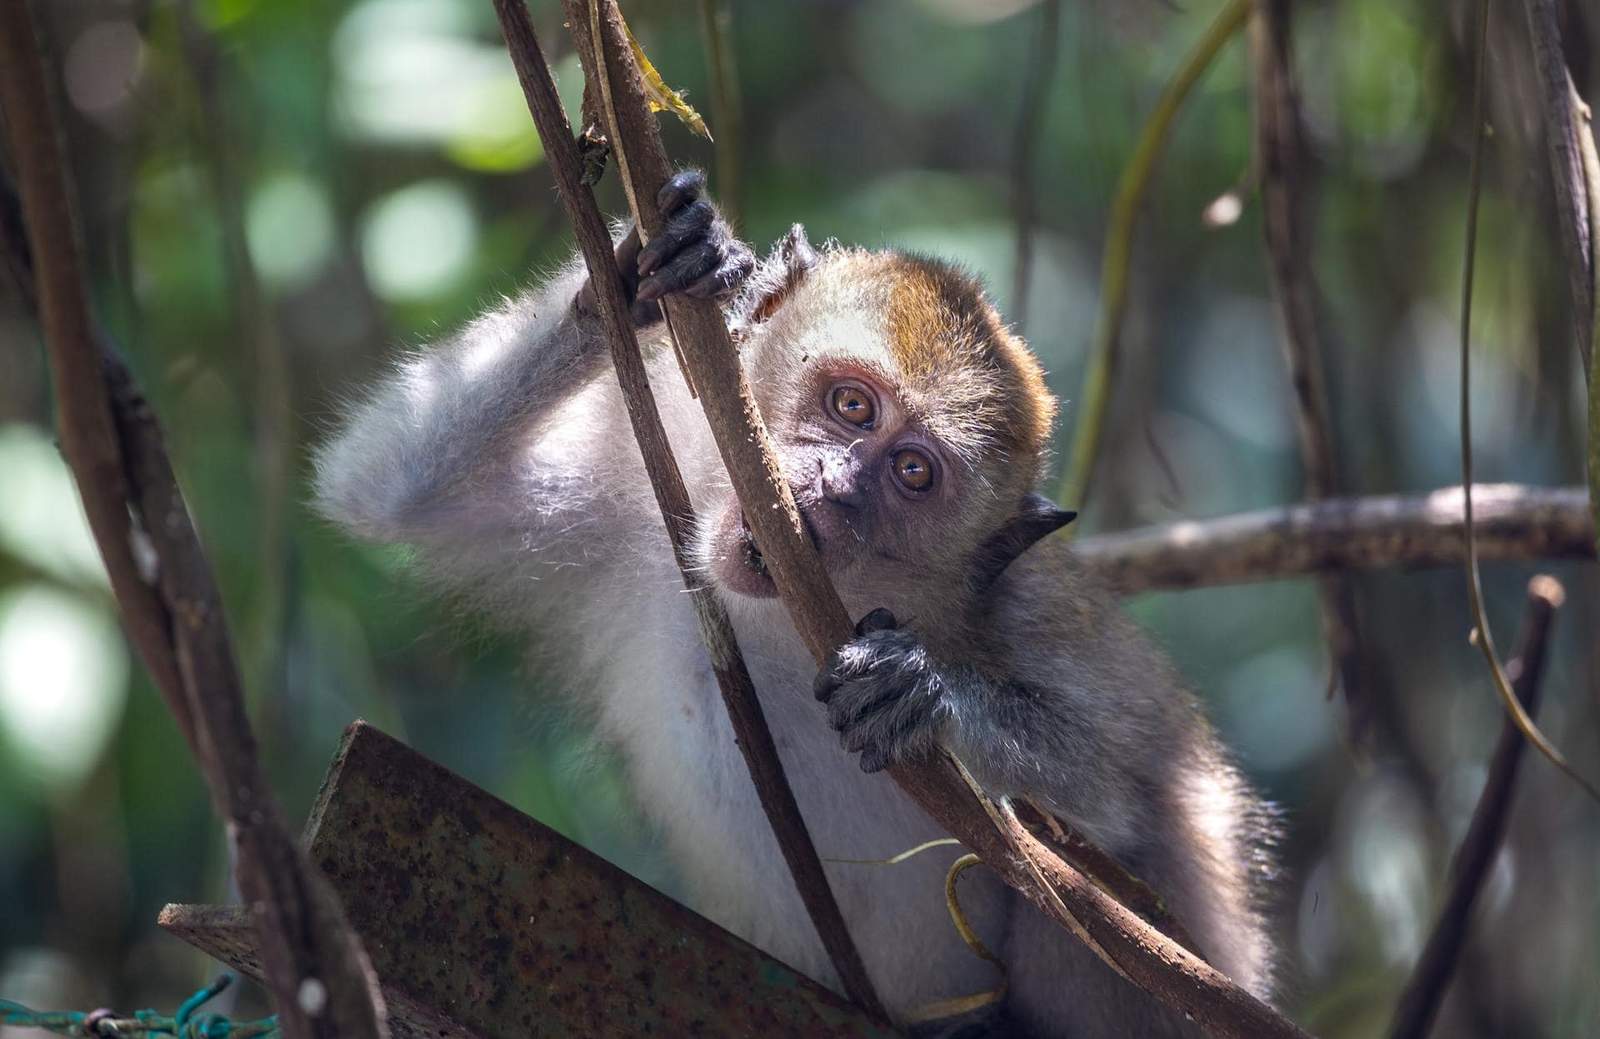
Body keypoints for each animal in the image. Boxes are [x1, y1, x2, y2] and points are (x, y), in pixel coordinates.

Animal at [313, 171, 1279, 1037]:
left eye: (913, 472)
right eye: (850, 405)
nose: (834, 487)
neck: (776, 624)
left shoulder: (1031, 612)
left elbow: (1133, 797)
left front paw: (924, 693)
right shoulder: (627, 483)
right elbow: (383, 490)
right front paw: (647, 276)